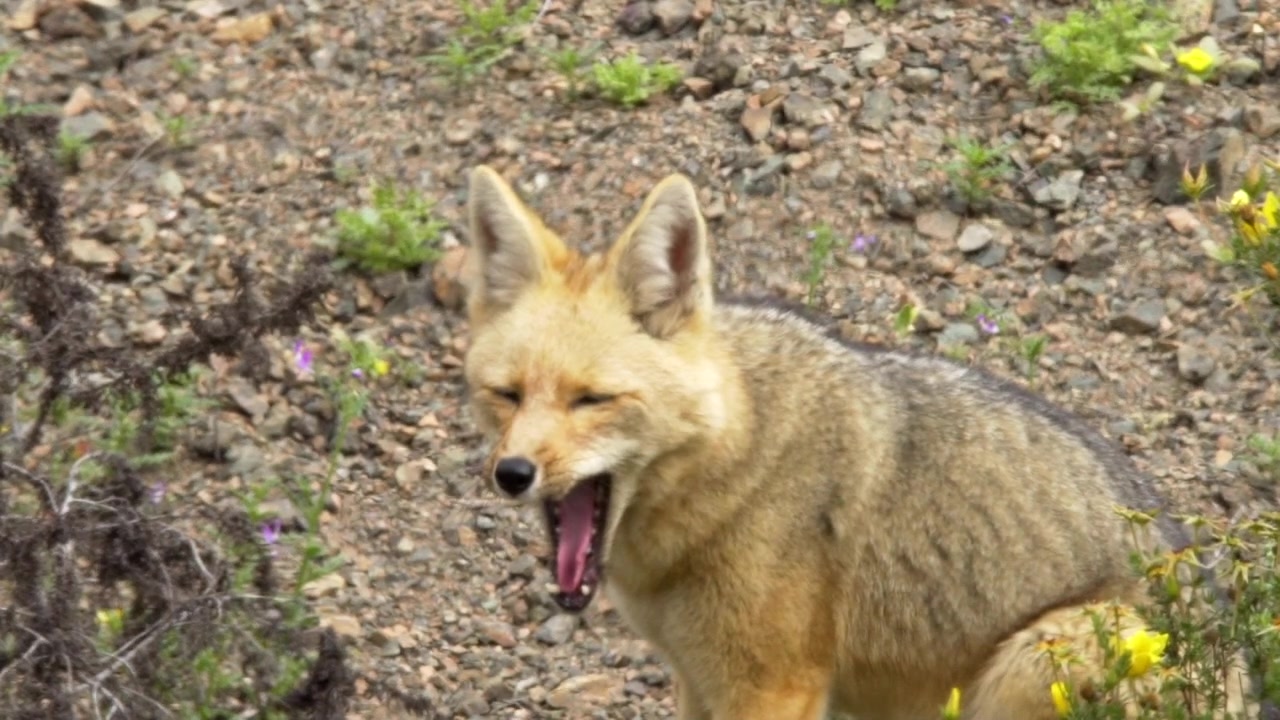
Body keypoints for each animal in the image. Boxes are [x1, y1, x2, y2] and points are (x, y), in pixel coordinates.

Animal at [457, 164, 1255, 720]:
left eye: (593, 400)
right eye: (507, 395)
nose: (512, 473)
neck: (742, 457)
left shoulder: (770, 690)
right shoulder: (697, 679)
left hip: (1037, 657)